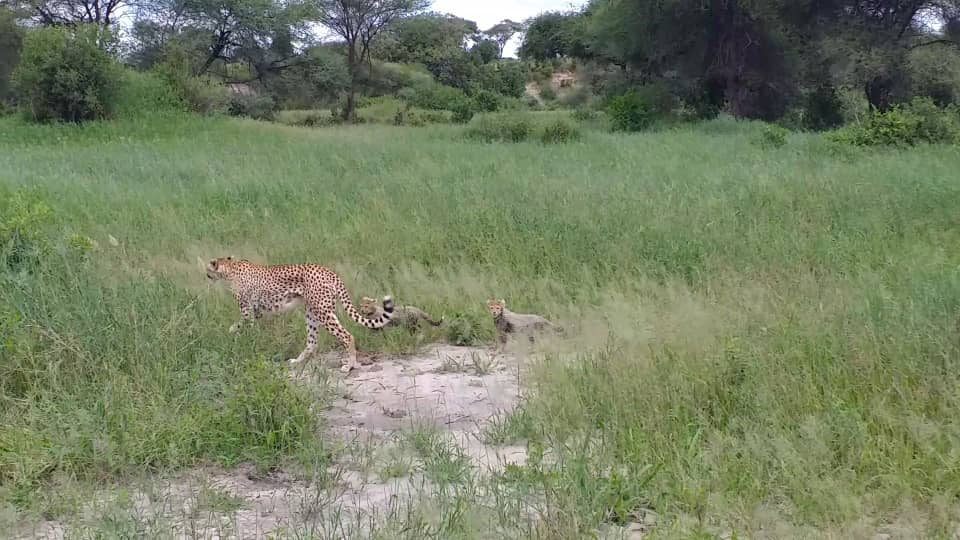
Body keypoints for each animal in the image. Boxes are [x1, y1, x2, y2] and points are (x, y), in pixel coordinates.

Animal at [206, 258, 394, 372]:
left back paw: (350, 365)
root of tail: (329, 271)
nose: (206, 275)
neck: (230, 268)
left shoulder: (248, 311)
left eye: (208, 268)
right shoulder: (256, 311)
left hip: (323, 312)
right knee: (312, 342)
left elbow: (242, 325)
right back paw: (297, 362)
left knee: (347, 336)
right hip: (313, 312)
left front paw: (239, 335)